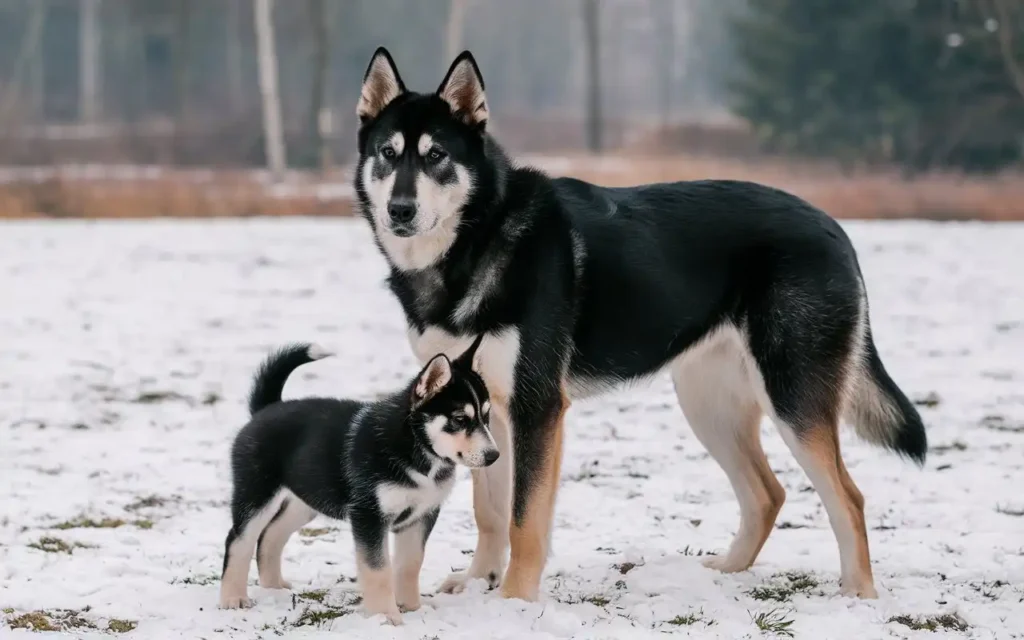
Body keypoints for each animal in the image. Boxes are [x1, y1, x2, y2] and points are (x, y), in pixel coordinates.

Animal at [218, 339, 493, 622]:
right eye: (460, 419)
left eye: (487, 417)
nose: (493, 455)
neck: (415, 447)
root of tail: (266, 408)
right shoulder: (369, 515)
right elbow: (378, 569)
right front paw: (386, 618)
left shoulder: (421, 515)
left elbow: (410, 563)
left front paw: (411, 607)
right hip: (257, 493)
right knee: (238, 539)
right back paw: (233, 598)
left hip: (307, 500)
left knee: (271, 534)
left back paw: (273, 587)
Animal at [352, 47, 929, 602]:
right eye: (388, 154)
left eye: (437, 156)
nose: (400, 209)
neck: (479, 235)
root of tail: (834, 227)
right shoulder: (482, 404)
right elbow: (489, 510)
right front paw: (479, 582)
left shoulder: (537, 406)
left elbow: (524, 519)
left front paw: (515, 600)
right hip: (708, 404)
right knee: (769, 493)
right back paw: (727, 572)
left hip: (792, 400)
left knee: (848, 498)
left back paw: (858, 594)